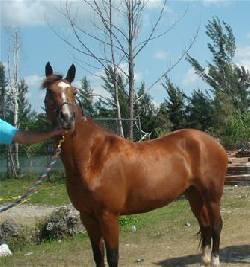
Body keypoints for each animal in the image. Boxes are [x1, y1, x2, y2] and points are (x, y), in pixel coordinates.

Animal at [43, 63, 229, 267]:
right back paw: (205, 259)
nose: (67, 119)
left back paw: (215, 259)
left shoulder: (108, 216)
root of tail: (213, 142)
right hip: (194, 194)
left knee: (216, 224)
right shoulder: (87, 216)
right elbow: (98, 255)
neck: (92, 160)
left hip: (212, 195)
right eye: (49, 92)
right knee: (205, 224)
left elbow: (113, 256)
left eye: (74, 92)